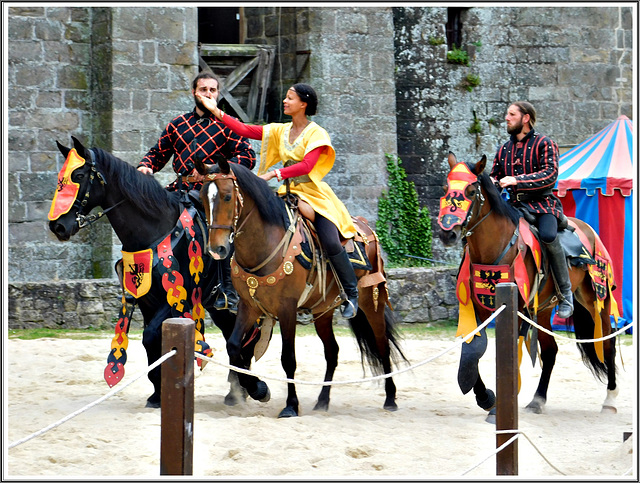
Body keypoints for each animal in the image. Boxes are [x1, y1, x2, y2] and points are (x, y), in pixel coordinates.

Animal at [49, 136, 260, 408]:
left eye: (79, 175)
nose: (58, 226)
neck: (154, 231)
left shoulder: (175, 299)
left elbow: (150, 337)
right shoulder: (146, 300)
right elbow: (152, 344)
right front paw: (157, 394)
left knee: (248, 336)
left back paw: (248, 388)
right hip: (217, 307)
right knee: (233, 335)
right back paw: (237, 390)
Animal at [192, 157, 408, 418]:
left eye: (226, 196)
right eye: (202, 197)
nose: (218, 249)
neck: (264, 242)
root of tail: (365, 227)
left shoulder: (287, 309)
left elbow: (288, 358)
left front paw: (290, 405)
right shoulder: (249, 306)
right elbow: (234, 347)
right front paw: (258, 389)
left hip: (371, 300)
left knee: (382, 344)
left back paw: (390, 398)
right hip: (322, 311)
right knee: (332, 352)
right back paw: (322, 401)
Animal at [438, 154, 616, 416]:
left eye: (470, 191)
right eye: (445, 188)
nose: (447, 232)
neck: (495, 248)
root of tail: (588, 230)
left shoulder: (516, 310)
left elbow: (508, 351)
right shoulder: (478, 308)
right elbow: (473, 348)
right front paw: (485, 396)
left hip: (596, 299)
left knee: (608, 342)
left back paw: (610, 399)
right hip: (542, 310)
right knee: (551, 351)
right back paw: (537, 399)